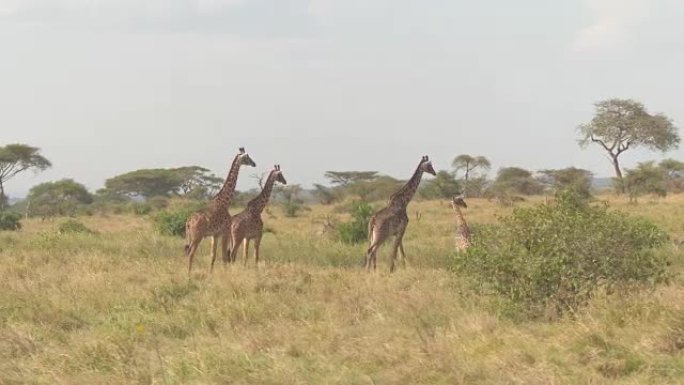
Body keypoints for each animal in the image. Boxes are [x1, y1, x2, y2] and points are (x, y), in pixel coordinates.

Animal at [183, 146, 255, 274]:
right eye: (247, 157)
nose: (254, 163)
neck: (225, 201)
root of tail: (188, 221)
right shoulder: (225, 232)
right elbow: (224, 257)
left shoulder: (215, 234)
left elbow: (213, 255)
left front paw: (210, 274)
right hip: (197, 237)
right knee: (191, 254)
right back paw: (188, 275)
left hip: (190, 236)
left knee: (187, 252)